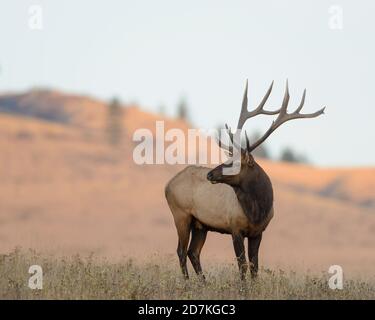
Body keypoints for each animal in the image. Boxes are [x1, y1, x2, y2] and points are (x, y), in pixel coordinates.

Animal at [165, 80, 326, 280]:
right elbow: (242, 266)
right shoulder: (235, 228)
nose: (210, 175)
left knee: (193, 252)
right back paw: (187, 282)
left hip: (201, 225)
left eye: (234, 163)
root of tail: (167, 185)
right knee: (181, 251)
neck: (257, 211)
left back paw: (203, 282)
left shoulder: (258, 232)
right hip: (181, 215)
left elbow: (254, 267)